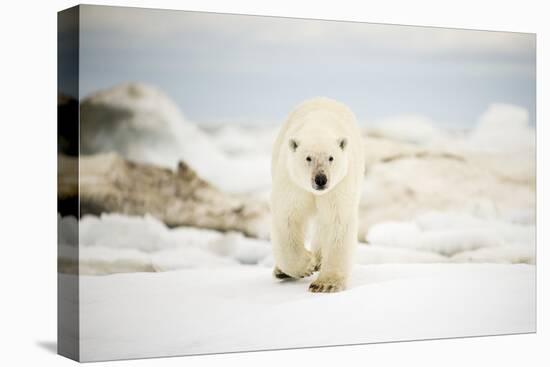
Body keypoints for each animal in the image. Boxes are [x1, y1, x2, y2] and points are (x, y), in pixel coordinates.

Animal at [272, 97, 366, 294]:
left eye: (331, 158)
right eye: (308, 158)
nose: (321, 179)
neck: (318, 126)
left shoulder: (339, 186)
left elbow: (337, 222)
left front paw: (326, 284)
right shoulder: (292, 182)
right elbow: (287, 218)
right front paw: (306, 265)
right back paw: (281, 271)